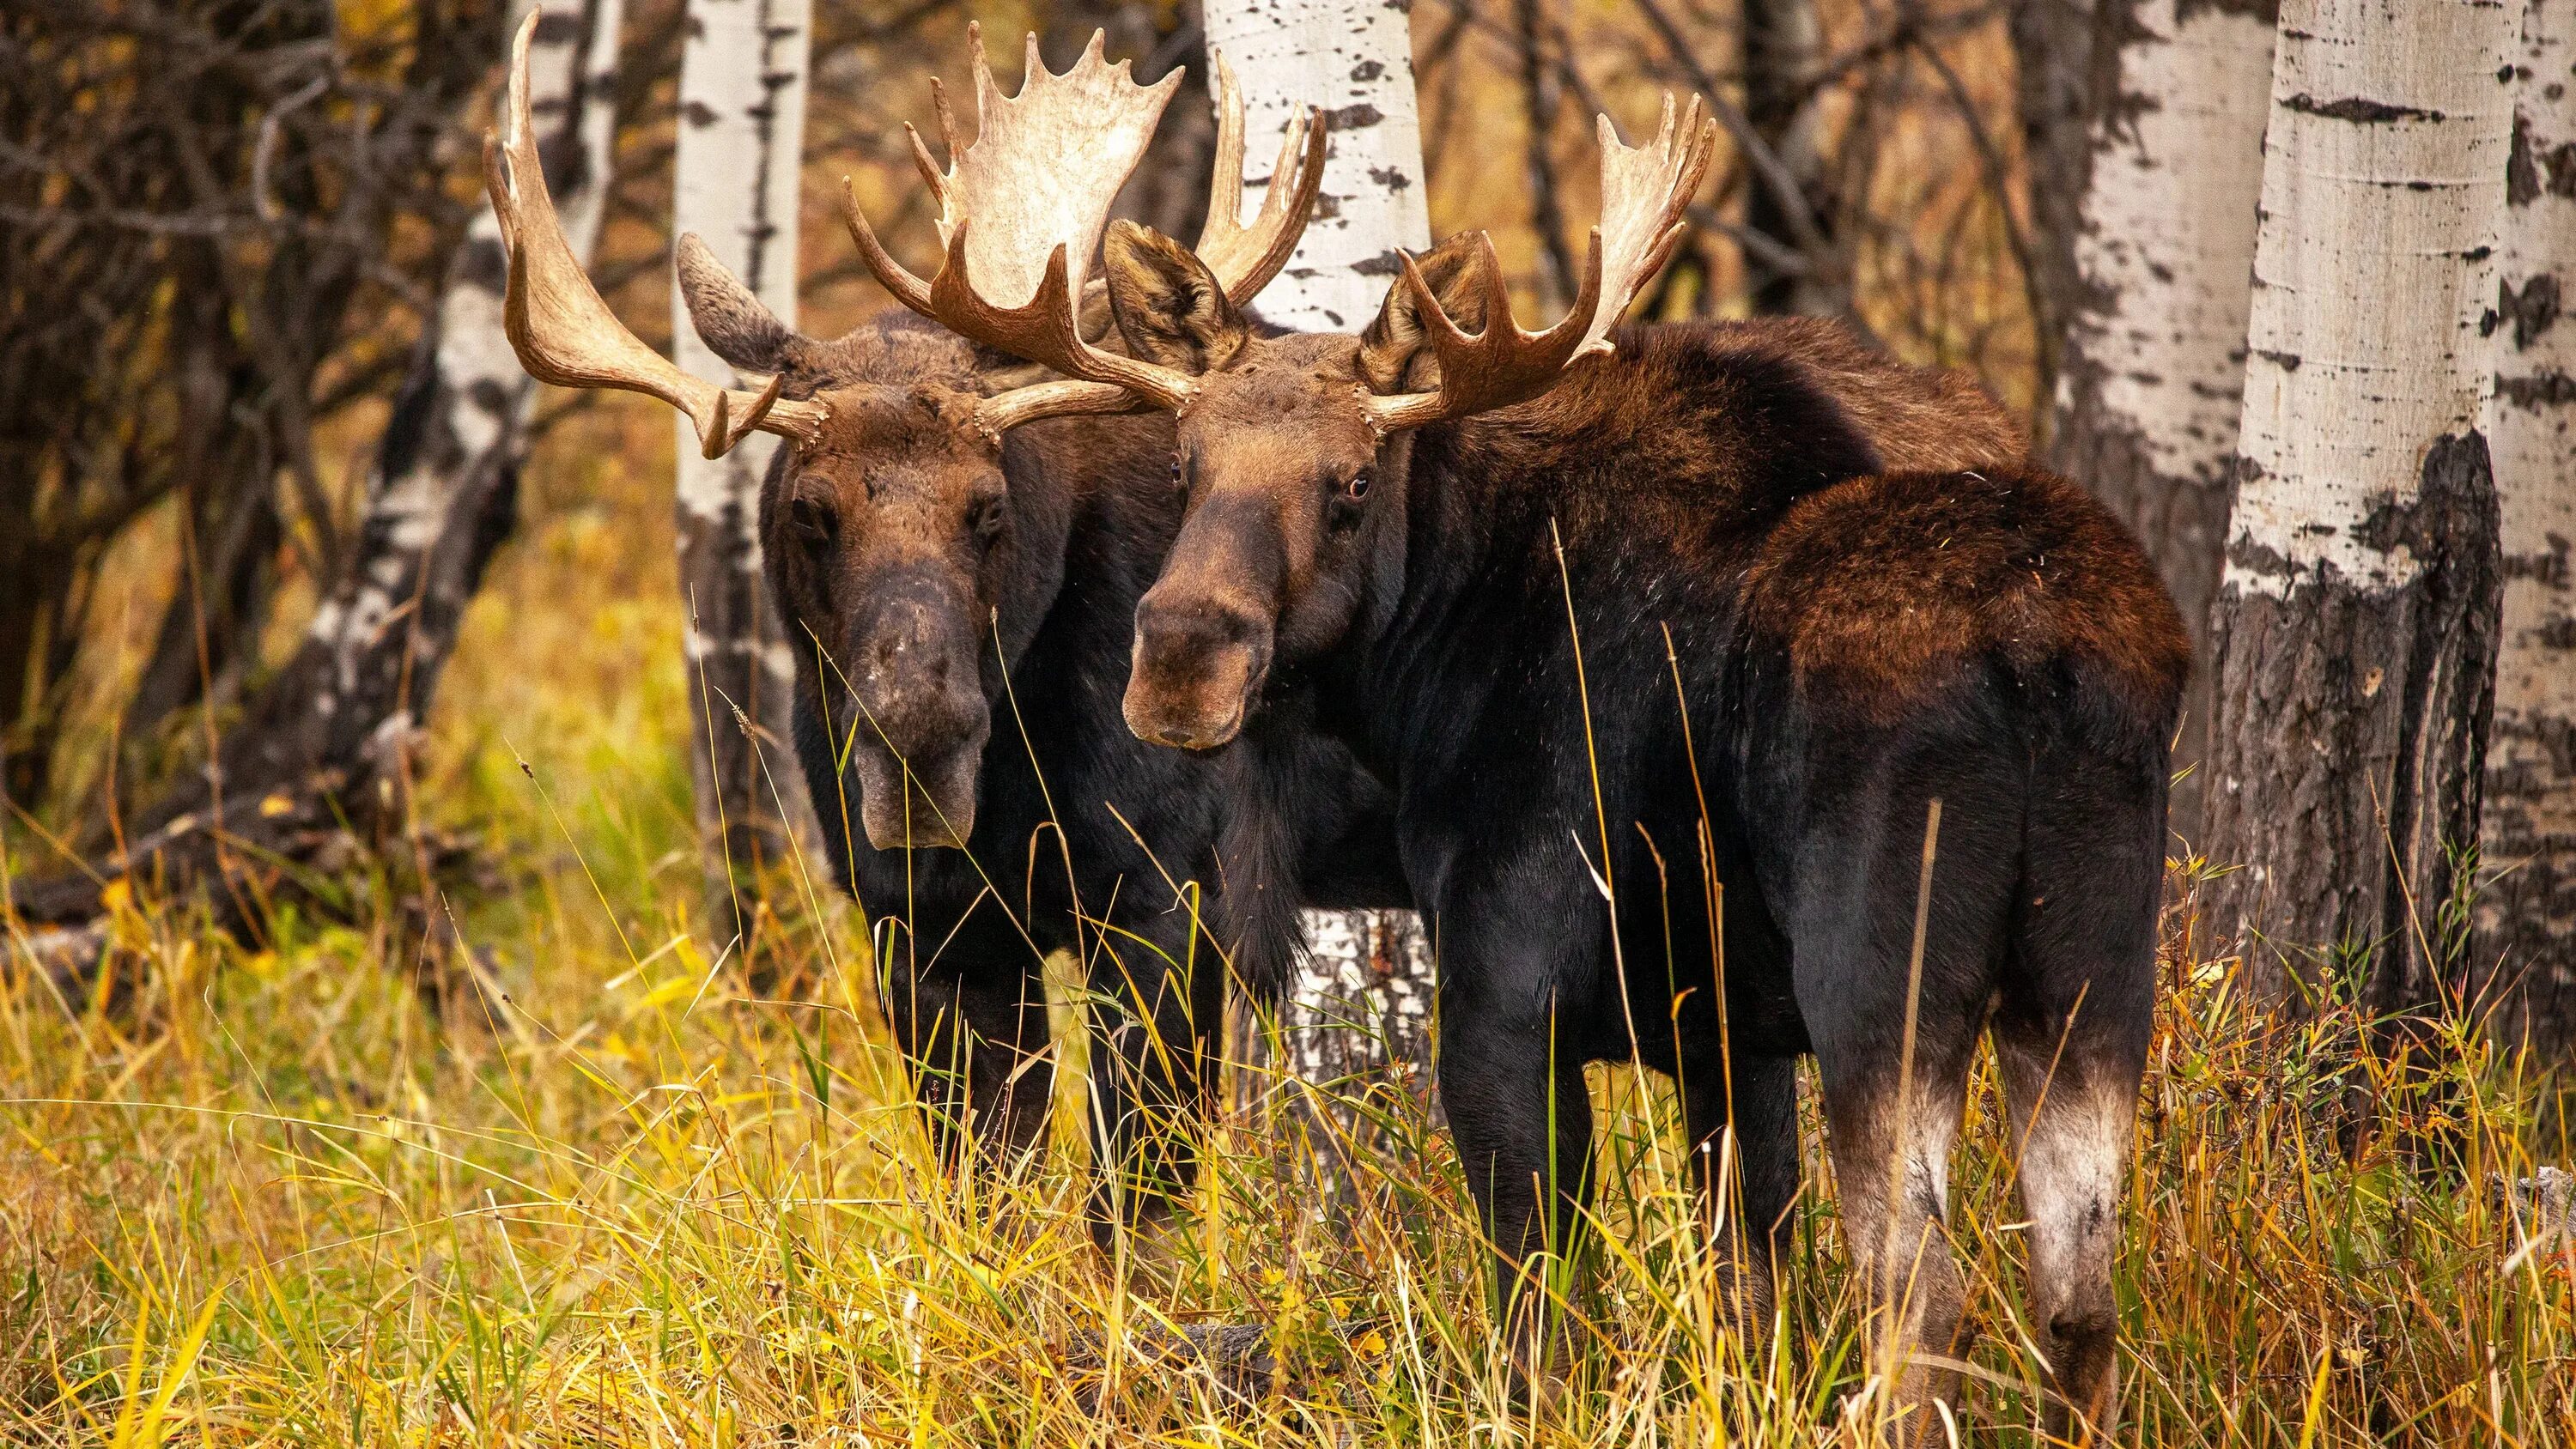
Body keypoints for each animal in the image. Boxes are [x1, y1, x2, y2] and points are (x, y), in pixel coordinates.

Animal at [855, 33, 2184, 1449]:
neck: (1434, 659)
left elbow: (1539, 1313)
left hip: (1884, 974)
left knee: (1922, 1292)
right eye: (1187, 461)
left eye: (1352, 485)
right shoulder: (1724, 1032)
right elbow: (1747, 1290)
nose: (1180, 662)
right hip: (2090, 973)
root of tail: (2037, 654)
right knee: (2079, 1293)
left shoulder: (1505, 996)